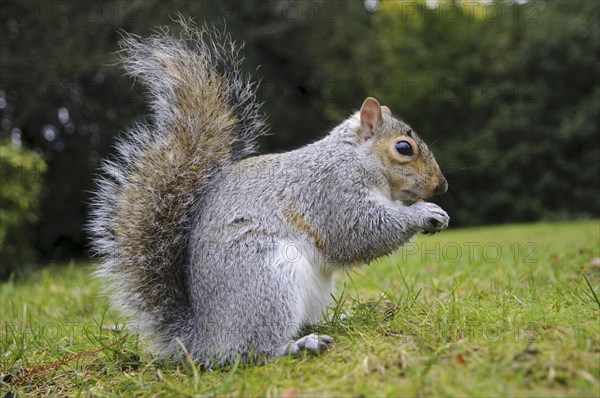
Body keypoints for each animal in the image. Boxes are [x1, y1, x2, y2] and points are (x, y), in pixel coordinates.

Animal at [86, 19, 448, 366]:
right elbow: (359, 232)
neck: (354, 157)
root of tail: (205, 340)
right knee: (254, 351)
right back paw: (299, 345)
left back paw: (335, 319)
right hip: (268, 279)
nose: (441, 186)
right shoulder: (330, 191)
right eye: (403, 148)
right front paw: (425, 213)